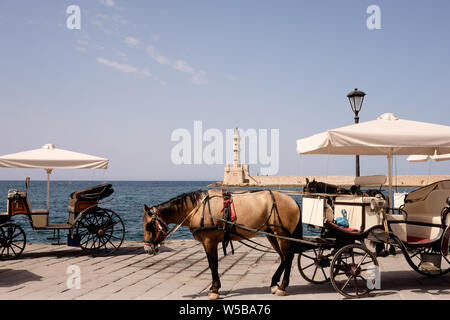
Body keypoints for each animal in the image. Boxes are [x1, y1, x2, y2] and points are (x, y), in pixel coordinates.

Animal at [142, 189, 300, 298]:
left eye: (149, 226)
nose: (147, 248)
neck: (198, 209)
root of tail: (292, 200)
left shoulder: (209, 241)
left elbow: (213, 264)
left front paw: (214, 289)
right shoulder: (208, 242)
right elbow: (212, 264)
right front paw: (214, 288)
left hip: (282, 234)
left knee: (288, 257)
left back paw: (282, 287)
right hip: (272, 234)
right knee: (283, 258)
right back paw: (274, 284)